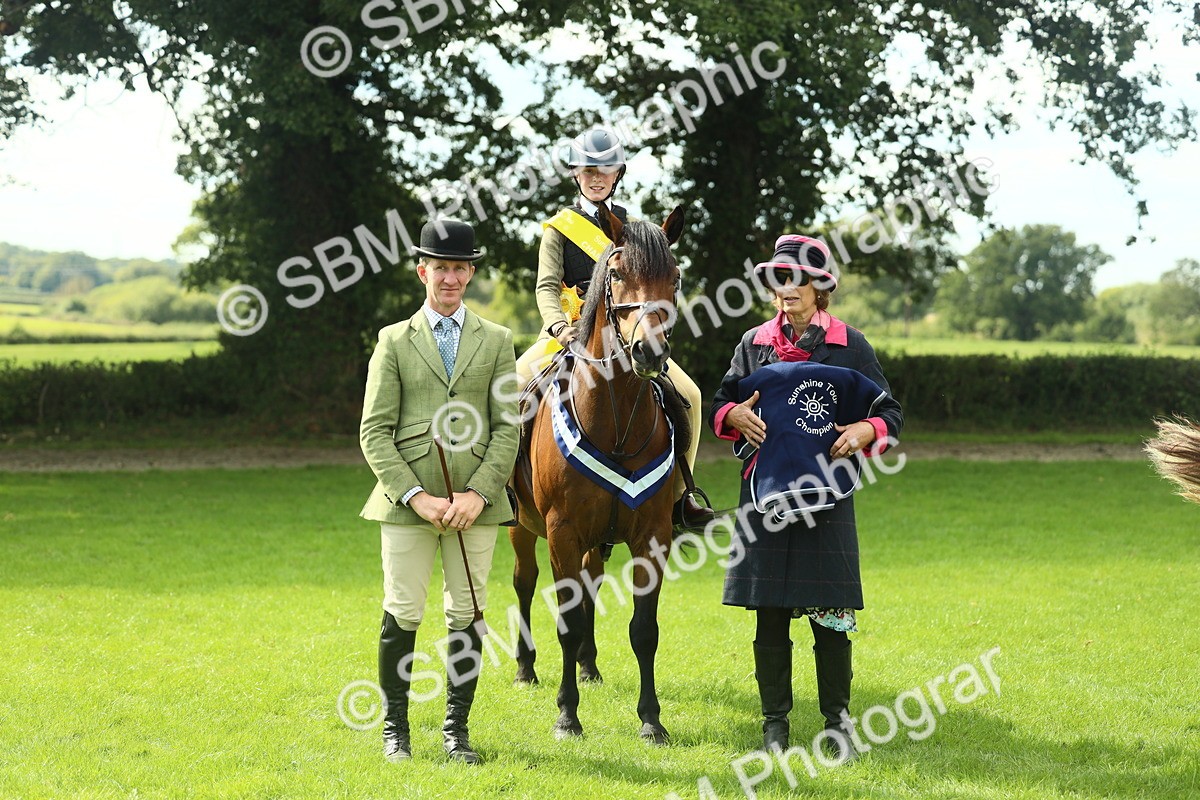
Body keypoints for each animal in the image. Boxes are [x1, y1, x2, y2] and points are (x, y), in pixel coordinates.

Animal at [508, 204, 685, 744]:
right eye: (619, 274)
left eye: (674, 277)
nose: (650, 352)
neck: (616, 420)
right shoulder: (561, 531)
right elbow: (564, 621)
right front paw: (567, 716)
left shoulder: (652, 535)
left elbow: (644, 630)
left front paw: (651, 720)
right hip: (521, 527)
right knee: (524, 583)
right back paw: (526, 669)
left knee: (591, 584)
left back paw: (589, 666)